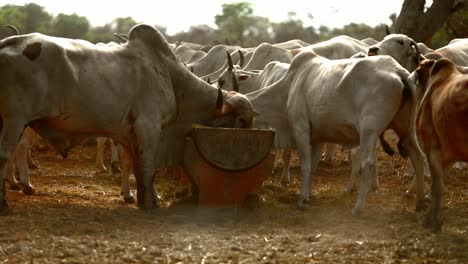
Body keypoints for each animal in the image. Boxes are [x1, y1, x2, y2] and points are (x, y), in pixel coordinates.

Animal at [0, 24, 256, 212]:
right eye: (243, 121)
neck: (172, 78)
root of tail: (7, 44)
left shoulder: (127, 134)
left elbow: (135, 167)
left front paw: (139, 197)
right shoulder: (149, 127)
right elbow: (149, 168)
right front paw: (151, 204)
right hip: (15, 121)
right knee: (8, 154)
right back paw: (9, 199)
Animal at [247, 51, 426, 214]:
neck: (289, 87)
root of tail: (398, 71)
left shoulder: (301, 129)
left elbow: (306, 167)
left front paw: (302, 199)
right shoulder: (317, 138)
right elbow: (313, 167)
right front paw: (308, 195)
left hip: (369, 131)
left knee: (368, 162)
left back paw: (358, 207)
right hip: (407, 130)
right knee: (418, 157)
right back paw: (419, 201)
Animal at [416, 58, 468, 232]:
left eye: (418, 72)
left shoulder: (432, 147)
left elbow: (437, 187)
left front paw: (434, 221)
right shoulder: (448, 155)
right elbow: (437, 185)